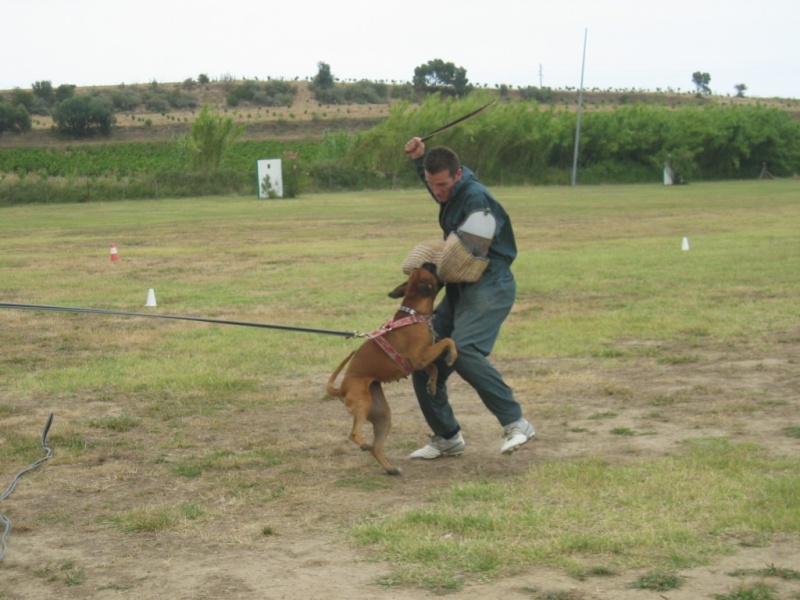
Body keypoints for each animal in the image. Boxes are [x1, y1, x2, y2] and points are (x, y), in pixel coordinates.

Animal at [326, 264, 456, 476]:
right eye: (428, 270)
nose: (430, 263)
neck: (413, 313)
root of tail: (341, 388)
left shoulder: (421, 361)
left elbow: (434, 367)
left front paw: (432, 385)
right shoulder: (420, 357)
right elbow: (448, 341)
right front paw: (452, 356)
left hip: (382, 416)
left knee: (376, 448)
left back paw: (390, 468)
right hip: (362, 403)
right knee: (353, 433)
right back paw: (363, 444)